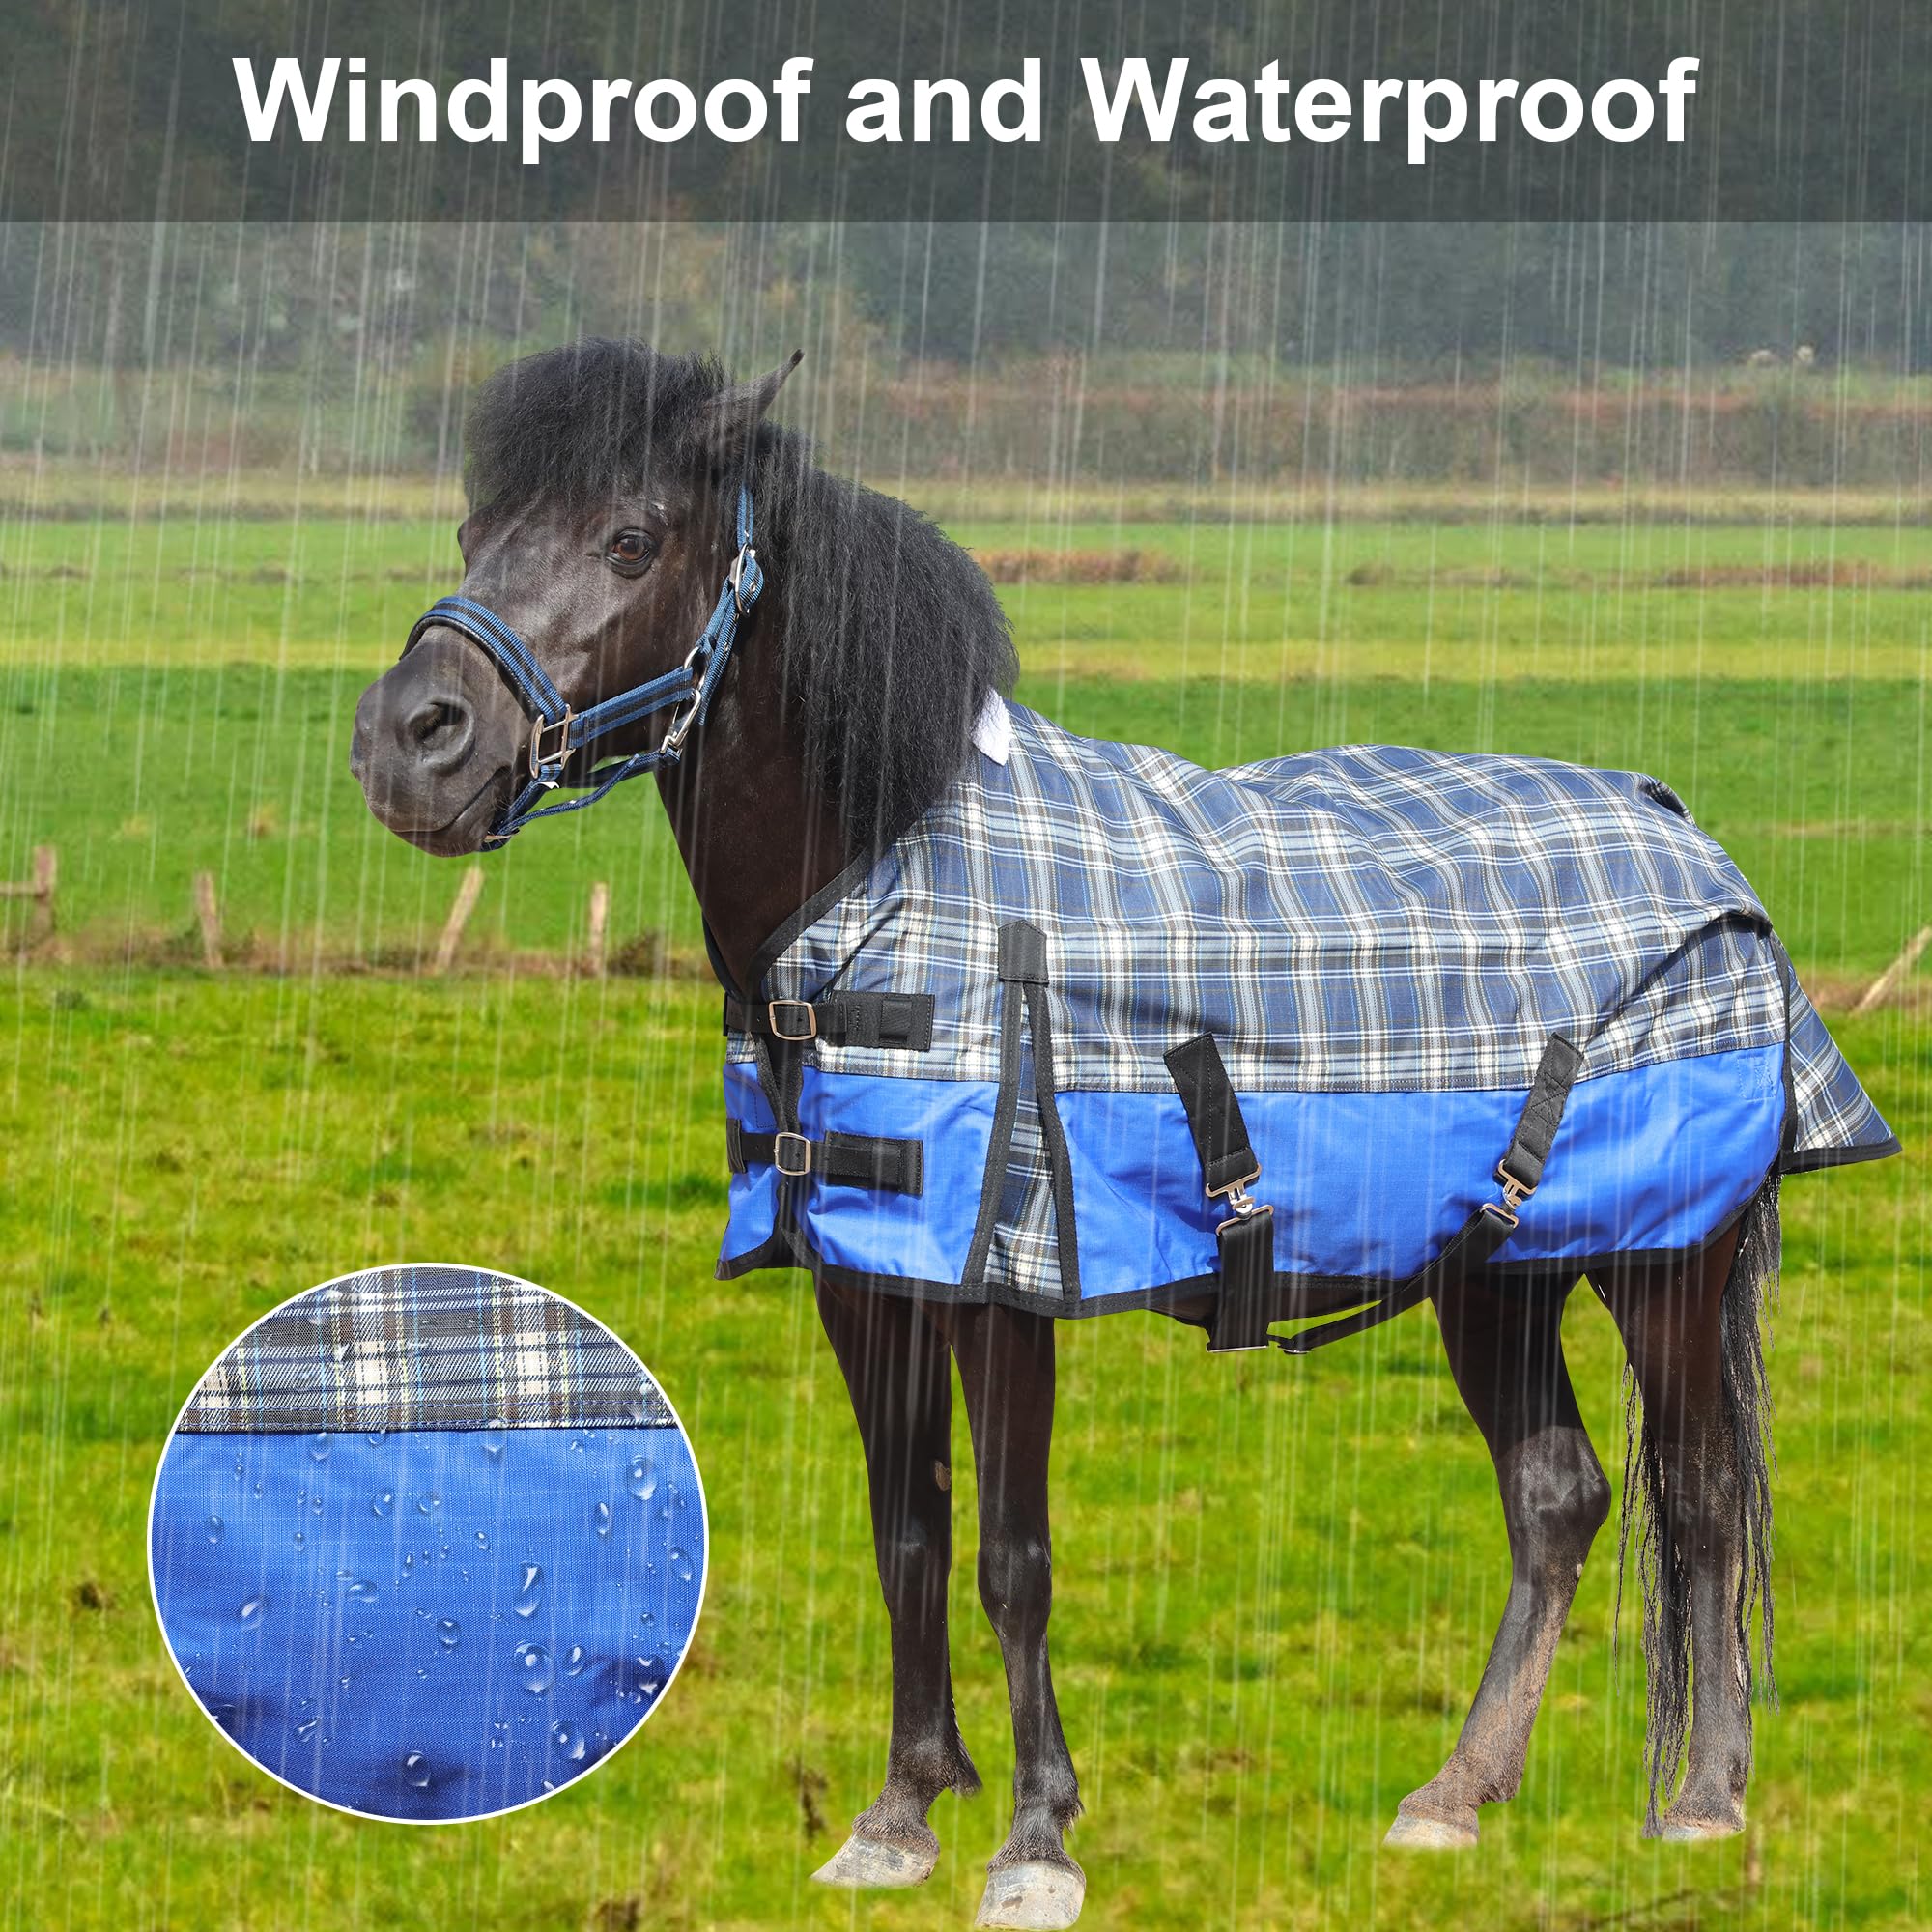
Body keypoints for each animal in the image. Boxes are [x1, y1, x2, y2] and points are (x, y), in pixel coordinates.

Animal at [351, 340, 1894, 1928]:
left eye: (632, 540)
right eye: (473, 532)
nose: (410, 743)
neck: (884, 880)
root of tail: (1695, 842)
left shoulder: (1004, 1281)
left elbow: (1011, 1557)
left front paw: (1036, 1841)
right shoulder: (869, 1283)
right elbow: (908, 1535)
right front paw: (897, 1815)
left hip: (1668, 1267)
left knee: (1698, 1503)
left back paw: (1703, 1805)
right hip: (1499, 1271)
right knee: (1557, 1500)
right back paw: (1451, 1800)